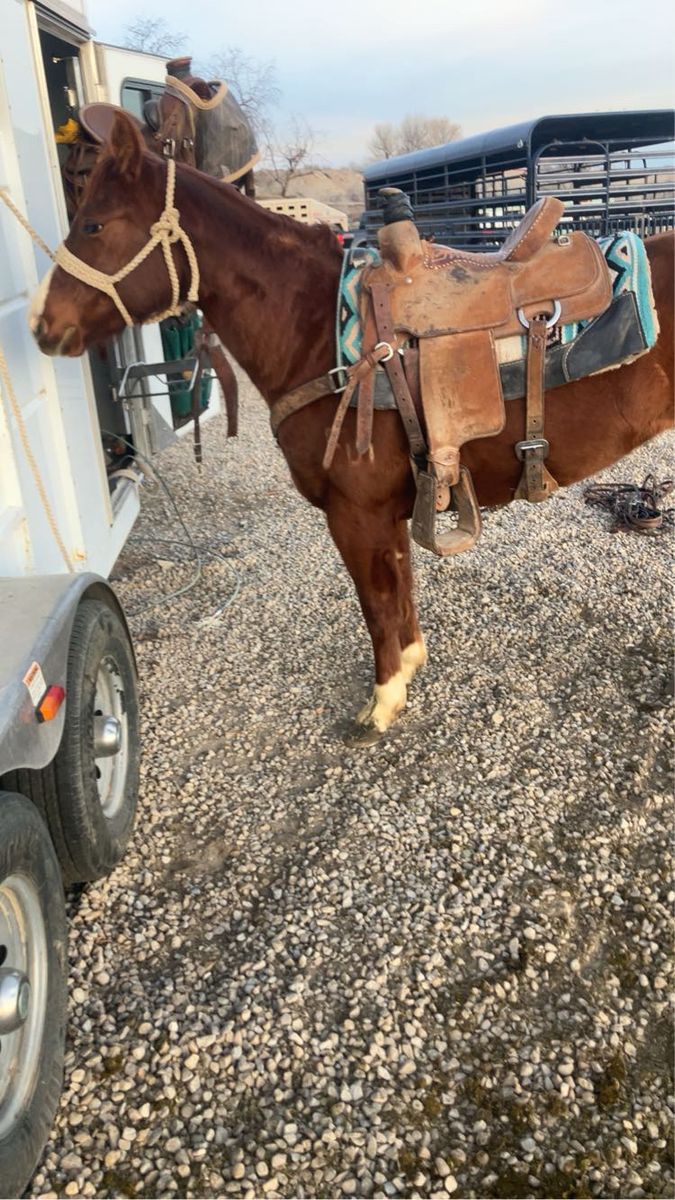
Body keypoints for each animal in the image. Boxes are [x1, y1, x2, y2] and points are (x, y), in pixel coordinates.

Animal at [31, 111, 674, 743]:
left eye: (93, 224)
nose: (41, 324)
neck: (313, 326)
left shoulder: (354, 513)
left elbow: (377, 604)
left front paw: (382, 702)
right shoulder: (390, 509)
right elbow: (400, 593)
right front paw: (409, 668)